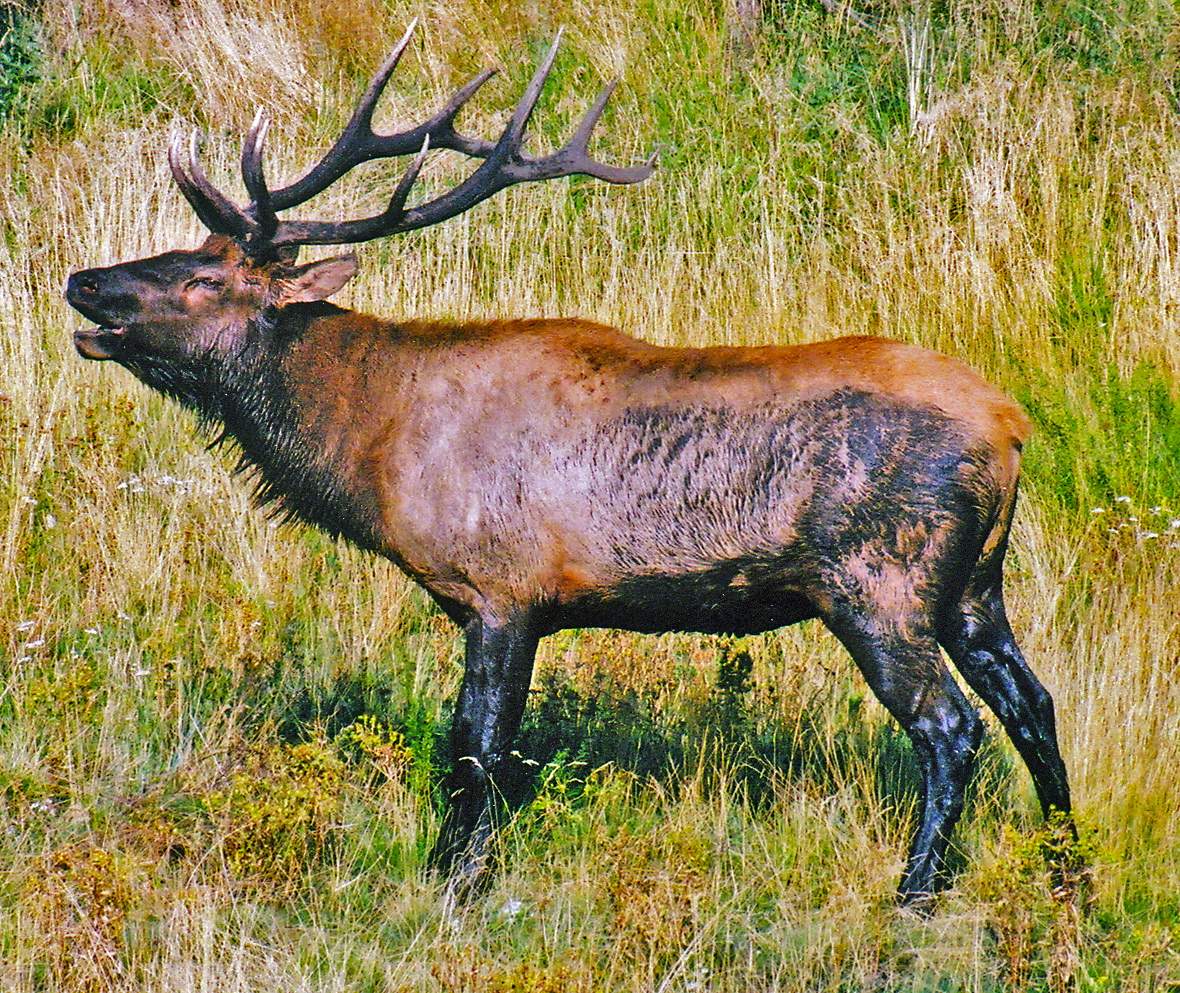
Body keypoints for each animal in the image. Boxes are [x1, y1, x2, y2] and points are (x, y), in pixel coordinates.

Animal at [65, 23, 1073, 911]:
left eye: (207, 278)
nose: (83, 280)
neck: (374, 445)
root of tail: (1012, 428)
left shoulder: (504, 588)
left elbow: (475, 745)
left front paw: (454, 883)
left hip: (880, 582)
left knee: (952, 729)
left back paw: (914, 894)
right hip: (974, 586)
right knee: (1036, 706)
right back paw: (1068, 876)